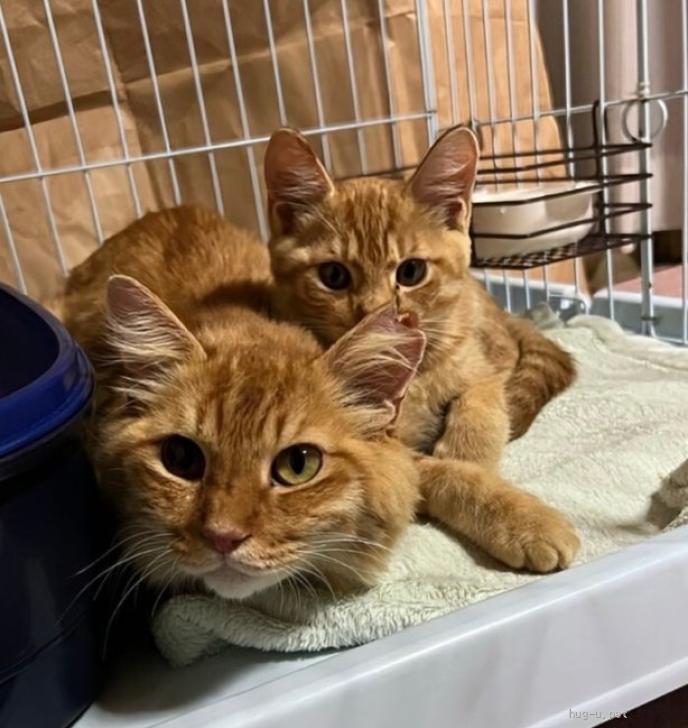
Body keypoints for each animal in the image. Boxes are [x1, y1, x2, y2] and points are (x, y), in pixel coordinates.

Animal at [264, 126, 580, 572]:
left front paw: (471, 455)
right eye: (333, 276)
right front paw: (522, 519)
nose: (376, 312)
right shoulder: (379, 455)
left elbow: (480, 408)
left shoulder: (480, 370)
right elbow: (441, 474)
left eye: (411, 272)